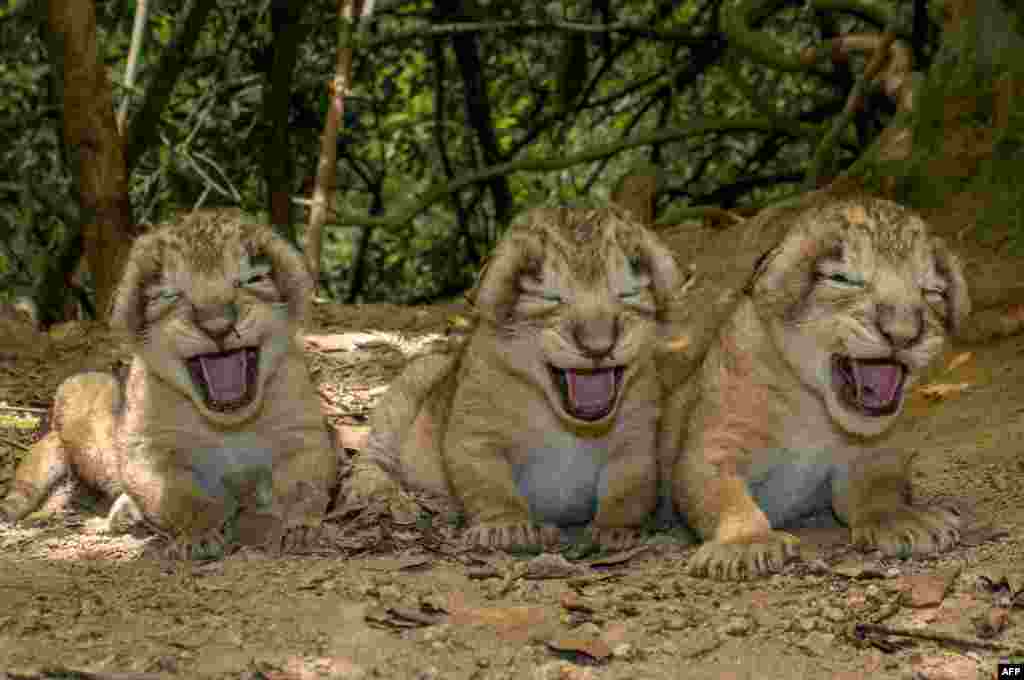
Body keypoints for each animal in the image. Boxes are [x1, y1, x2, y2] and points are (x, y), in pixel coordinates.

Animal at [0, 210, 337, 559]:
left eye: (250, 280)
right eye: (171, 294)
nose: (218, 327)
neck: (228, 425)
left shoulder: (303, 434)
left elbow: (304, 486)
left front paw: (299, 528)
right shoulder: (147, 450)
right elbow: (177, 496)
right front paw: (201, 535)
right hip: (82, 390)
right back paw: (126, 512)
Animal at [344, 206, 682, 551]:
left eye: (627, 294)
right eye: (552, 298)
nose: (598, 346)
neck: (572, 427)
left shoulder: (636, 441)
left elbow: (629, 489)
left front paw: (616, 531)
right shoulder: (475, 435)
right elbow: (488, 483)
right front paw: (506, 527)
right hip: (409, 386)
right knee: (371, 454)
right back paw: (376, 489)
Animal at [663, 194, 970, 580]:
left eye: (931, 291)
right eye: (843, 279)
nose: (903, 333)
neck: (816, 409)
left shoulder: (874, 452)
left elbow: (882, 488)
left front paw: (901, 519)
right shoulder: (714, 442)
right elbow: (720, 491)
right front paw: (746, 542)